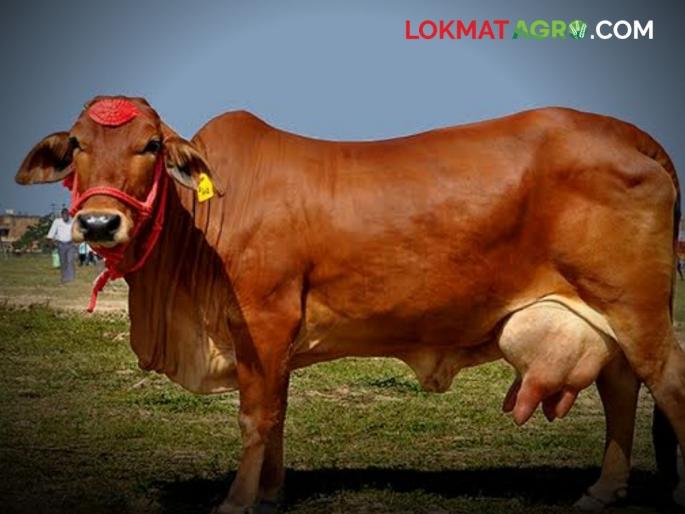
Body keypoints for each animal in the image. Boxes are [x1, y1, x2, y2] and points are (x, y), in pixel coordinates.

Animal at [15, 96, 685, 513]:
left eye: (151, 144)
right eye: (76, 145)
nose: (98, 224)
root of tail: (630, 133)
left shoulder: (264, 319)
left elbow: (255, 417)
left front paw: (237, 500)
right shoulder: (273, 341)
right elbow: (277, 414)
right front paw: (270, 494)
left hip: (639, 308)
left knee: (667, 382)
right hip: (606, 311)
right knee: (621, 385)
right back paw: (604, 489)